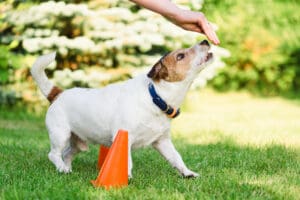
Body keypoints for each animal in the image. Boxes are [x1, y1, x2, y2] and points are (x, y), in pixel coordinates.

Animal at [30, 39, 213, 178]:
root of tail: (57, 93)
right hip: (60, 134)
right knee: (54, 154)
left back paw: (66, 169)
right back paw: (61, 167)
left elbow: (176, 158)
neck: (154, 96)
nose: (205, 41)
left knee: (67, 154)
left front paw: (187, 173)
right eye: (180, 56)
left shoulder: (162, 141)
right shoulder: (125, 136)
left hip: (78, 142)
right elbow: (128, 161)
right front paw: (127, 178)